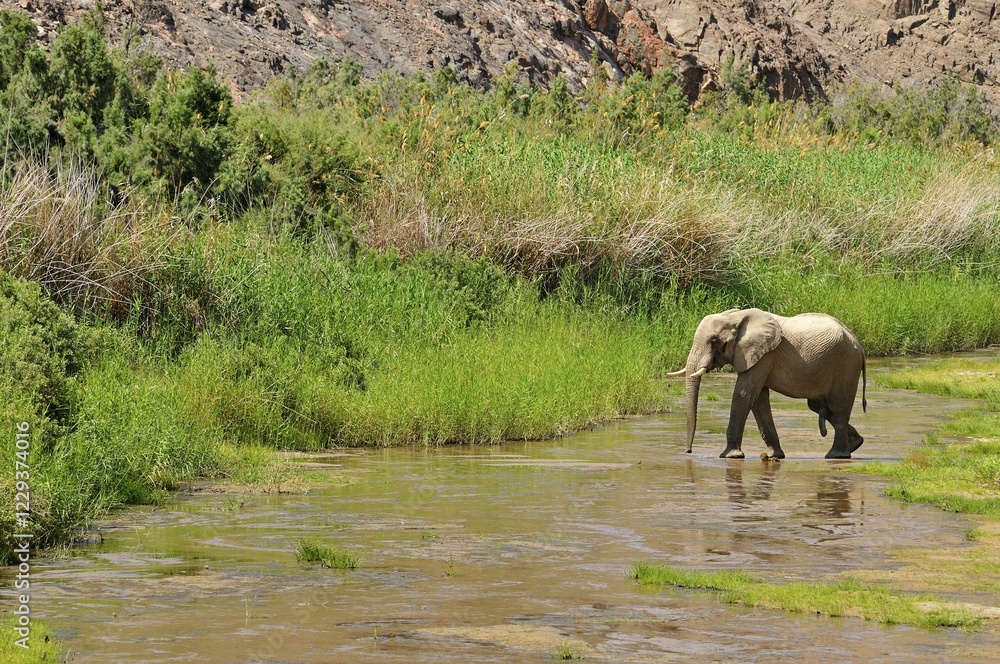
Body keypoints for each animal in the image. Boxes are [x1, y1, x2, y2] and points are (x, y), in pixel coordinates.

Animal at [668, 308, 867, 459]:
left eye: (714, 341)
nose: (688, 452)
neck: (736, 317)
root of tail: (858, 342)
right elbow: (758, 399)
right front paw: (773, 455)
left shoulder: (764, 355)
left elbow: (744, 395)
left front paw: (729, 456)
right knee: (819, 407)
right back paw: (855, 443)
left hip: (846, 365)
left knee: (838, 407)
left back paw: (836, 455)